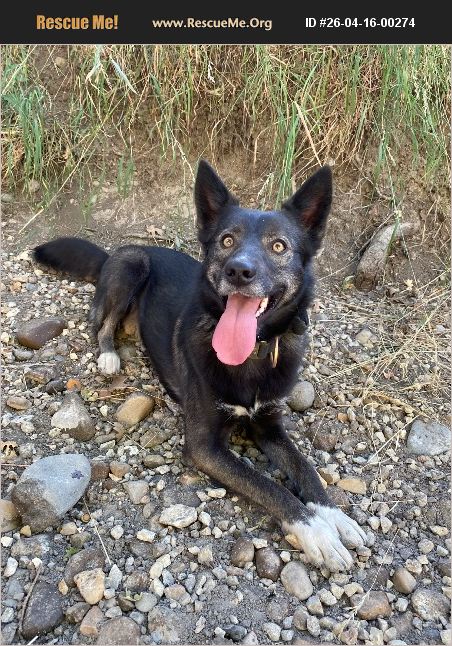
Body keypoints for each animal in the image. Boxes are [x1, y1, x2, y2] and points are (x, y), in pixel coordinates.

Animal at [34, 160, 366, 571]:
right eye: (227, 241)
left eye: (278, 246)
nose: (239, 271)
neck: (250, 354)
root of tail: (118, 251)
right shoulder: (204, 446)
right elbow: (268, 485)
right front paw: (316, 531)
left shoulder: (270, 426)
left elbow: (306, 469)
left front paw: (336, 517)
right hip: (131, 265)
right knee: (101, 322)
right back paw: (109, 355)